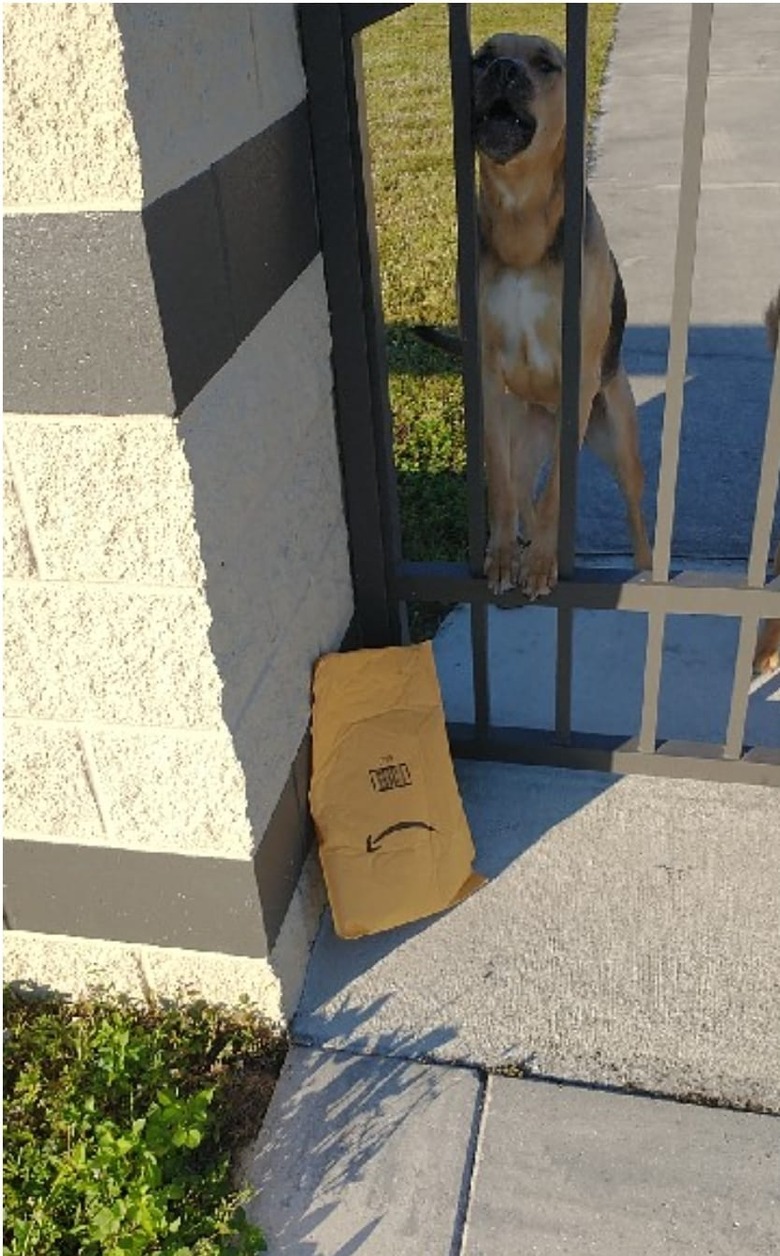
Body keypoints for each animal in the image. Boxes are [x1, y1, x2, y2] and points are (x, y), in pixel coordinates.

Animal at [467, 31, 653, 592]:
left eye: (546, 64)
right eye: (482, 57)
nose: (502, 70)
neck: (521, 216)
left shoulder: (580, 373)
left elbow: (553, 501)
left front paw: (544, 562)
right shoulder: (488, 378)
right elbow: (503, 487)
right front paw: (504, 555)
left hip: (617, 438)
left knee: (635, 511)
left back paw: (646, 570)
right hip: (527, 438)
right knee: (523, 486)